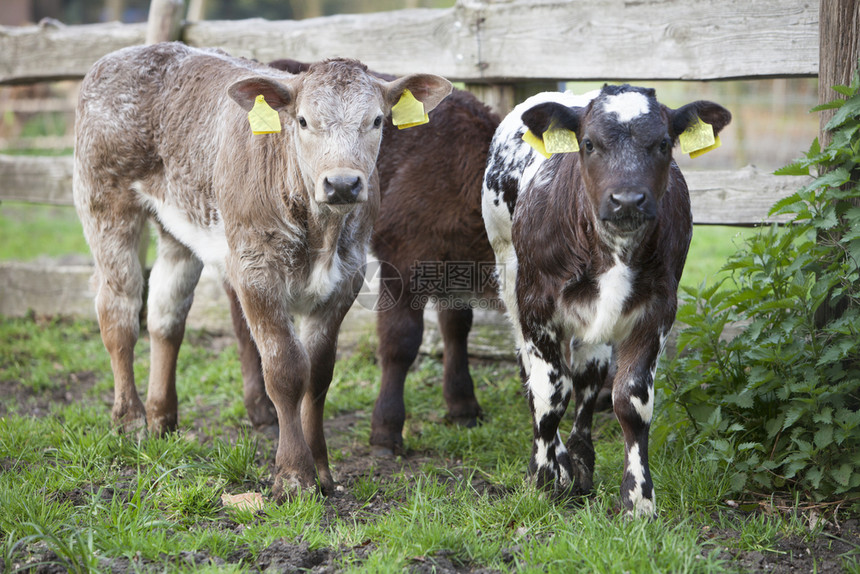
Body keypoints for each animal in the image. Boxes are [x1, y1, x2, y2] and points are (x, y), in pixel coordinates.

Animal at [73, 41, 450, 500]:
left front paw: (323, 470)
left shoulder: (347, 278)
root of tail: (128, 53)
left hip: (177, 225)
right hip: (104, 203)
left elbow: (319, 374)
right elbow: (286, 370)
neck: (320, 232)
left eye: (377, 120)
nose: (343, 184)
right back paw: (129, 420)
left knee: (166, 314)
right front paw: (294, 475)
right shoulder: (256, 273)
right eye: (303, 120)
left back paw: (162, 419)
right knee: (119, 311)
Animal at [480, 84, 728, 516]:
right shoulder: (536, 305)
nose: (627, 200)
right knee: (535, 377)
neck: (612, 250)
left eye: (664, 143)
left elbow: (630, 400)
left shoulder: (657, 310)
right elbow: (549, 394)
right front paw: (543, 480)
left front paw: (638, 500)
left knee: (587, 376)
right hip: (508, 273)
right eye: (589, 144)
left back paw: (580, 460)